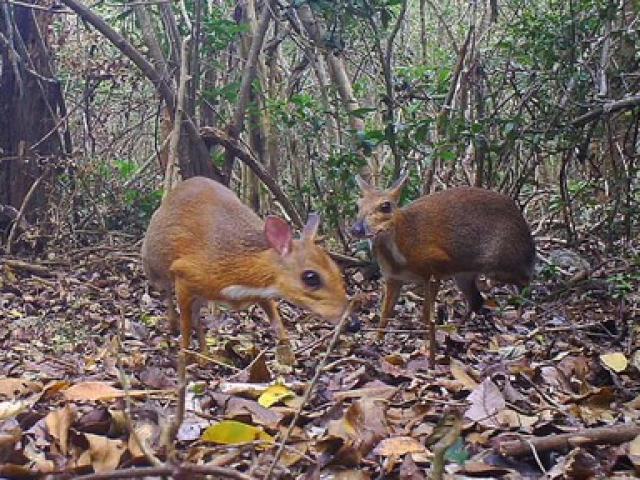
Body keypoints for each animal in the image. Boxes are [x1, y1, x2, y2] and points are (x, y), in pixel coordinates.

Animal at [142, 176, 348, 364]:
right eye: (311, 277)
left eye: (336, 270)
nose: (351, 323)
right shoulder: (184, 273)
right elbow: (185, 327)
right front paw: (184, 357)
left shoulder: (263, 291)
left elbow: (277, 322)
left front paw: (289, 357)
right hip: (154, 268)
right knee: (168, 293)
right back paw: (174, 327)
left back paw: (205, 355)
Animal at [350, 174, 536, 366]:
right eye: (357, 205)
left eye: (385, 206)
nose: (356, 229)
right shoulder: (393, 278)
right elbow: (385, 314)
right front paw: (376, 341)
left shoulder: (434, 269)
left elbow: (426, 314)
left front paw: (427, 344)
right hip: (464, 274)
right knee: (477, 300)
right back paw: (456, 328)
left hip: (501, 263)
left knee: (527, 279)